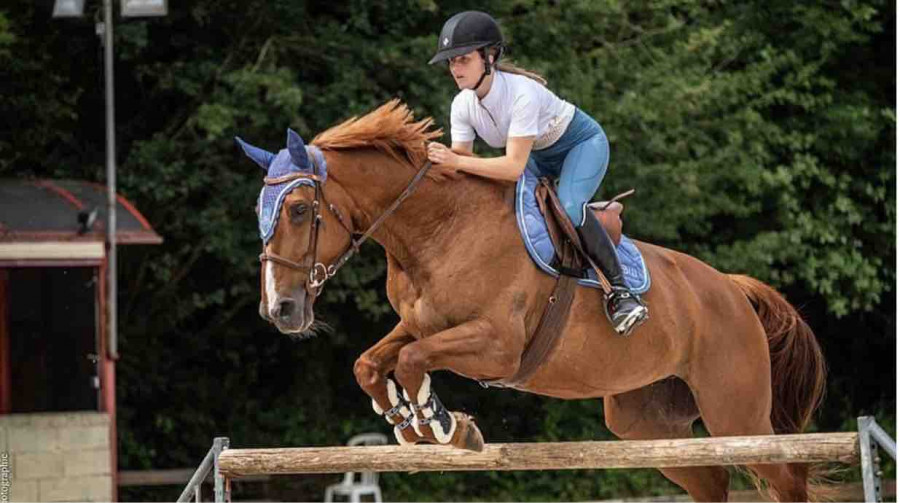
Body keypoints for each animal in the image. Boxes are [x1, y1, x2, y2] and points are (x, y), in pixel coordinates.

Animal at [239, 100, 827, 502]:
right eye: (259, 210)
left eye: (297, 209)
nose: (280, 311)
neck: (439, 228)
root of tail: (731, 288)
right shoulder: (423, 323)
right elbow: (372, 361)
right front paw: (407, 419)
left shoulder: (497, 347)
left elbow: (410, 359)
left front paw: (445, 425)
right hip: (647, 423)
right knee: (711, 479)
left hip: (735, 412)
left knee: (787, 472)